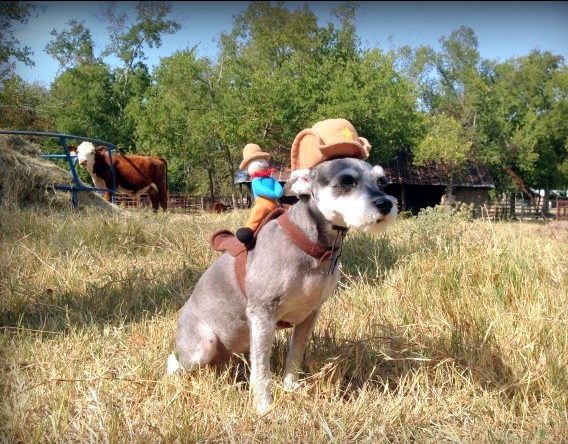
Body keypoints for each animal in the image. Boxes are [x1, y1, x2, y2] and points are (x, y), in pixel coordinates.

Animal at [169, 156, 398, 412]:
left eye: (382, 181)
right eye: (347, 181)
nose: (385, 203)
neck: (308, 245)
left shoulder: (310, 314)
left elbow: (294, 355)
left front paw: (291, 387)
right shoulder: (262, 313)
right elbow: (261, 369)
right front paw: (264, 406)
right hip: (203, 346)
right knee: (178, 361)